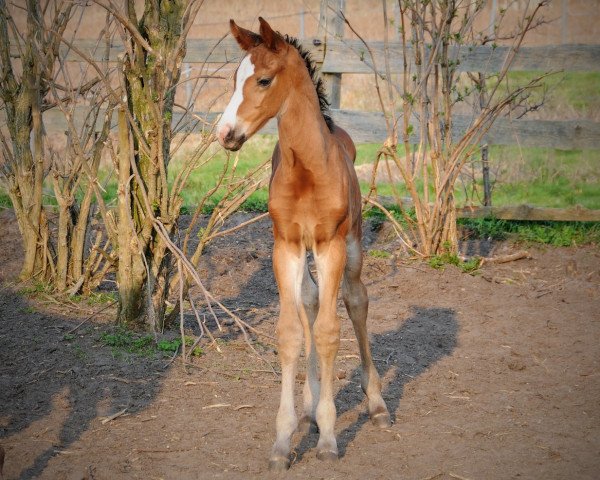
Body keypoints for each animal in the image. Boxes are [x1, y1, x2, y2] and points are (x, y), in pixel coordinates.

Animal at [216, 17, 390, 468]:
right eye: (234, 79)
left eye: (263, 79)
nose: (225, 133)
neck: (308, 170)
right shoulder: (286, 248)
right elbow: (291, 333)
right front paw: (283, 440)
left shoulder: (330, 246)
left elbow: (329, 332)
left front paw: (329, 439)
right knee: (311, 301)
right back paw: (310, 409)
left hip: (352, 246)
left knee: (356, 301)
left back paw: (376, 405)